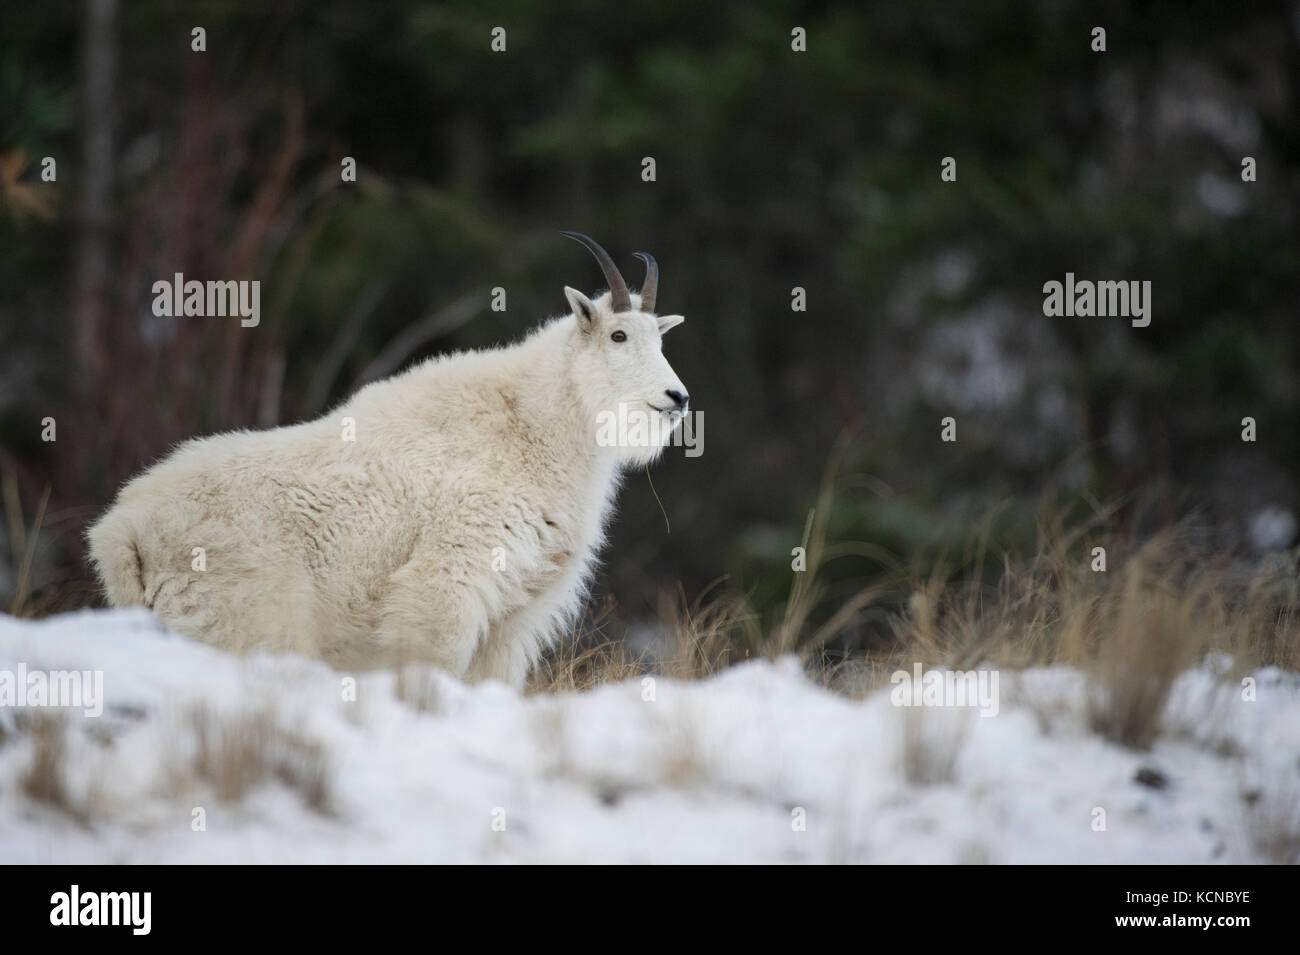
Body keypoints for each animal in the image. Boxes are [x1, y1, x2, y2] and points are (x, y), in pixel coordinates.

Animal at [83, 235, 691, 691]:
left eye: (659, 340)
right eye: (618, 334)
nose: (677, 398)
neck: (533, 428)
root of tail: (124, 532)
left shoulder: (517, 614)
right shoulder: (450, 575)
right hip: (242, 621)